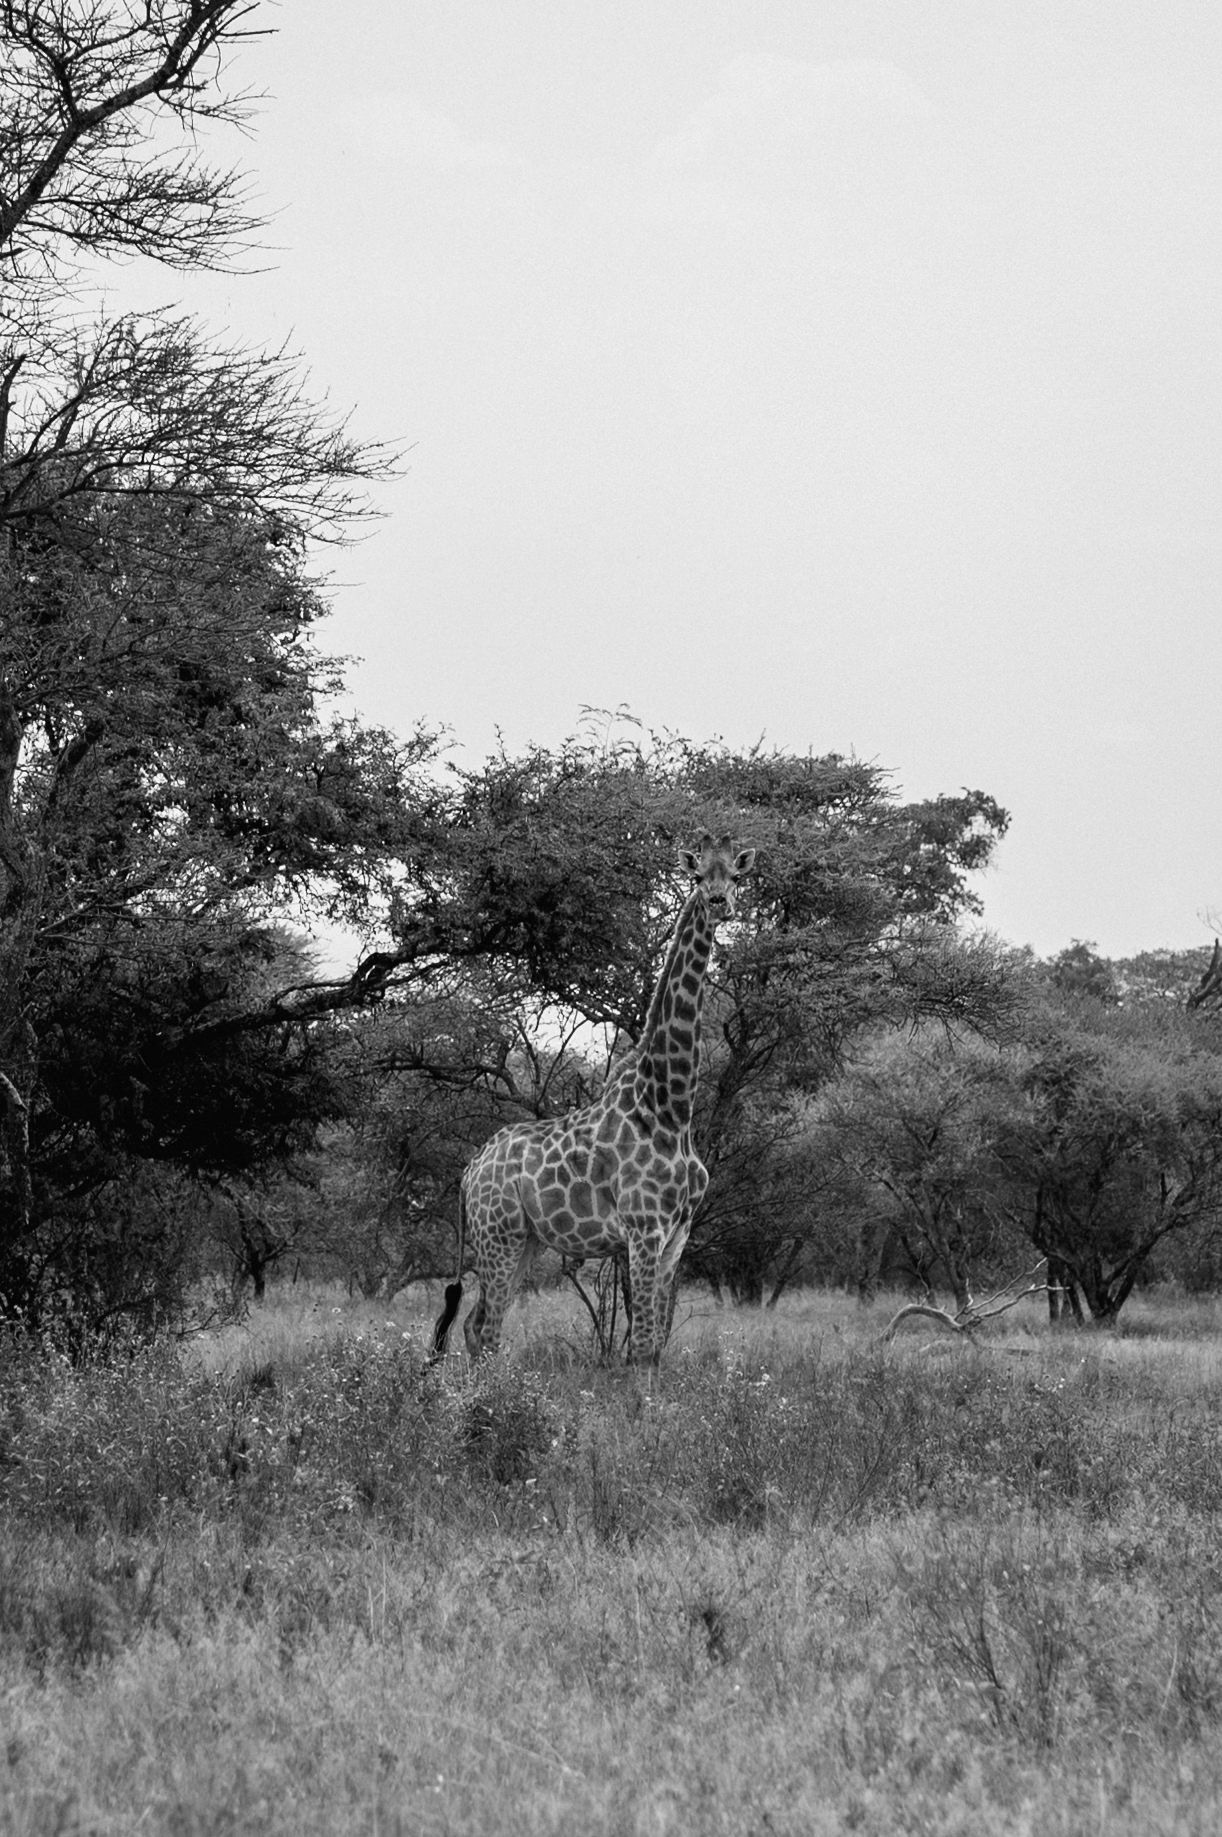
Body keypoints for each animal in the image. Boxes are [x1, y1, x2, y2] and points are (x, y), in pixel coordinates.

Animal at [429, 833, 756, 1367]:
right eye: (696, 875)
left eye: (734, 876)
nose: (717, 902)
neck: (670, 1109)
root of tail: (469, 1171)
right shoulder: (644, 1230)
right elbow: (640, 1347)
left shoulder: (676, 1238)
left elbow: (654, 1347)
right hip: (498, 1234)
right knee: (488, 1329)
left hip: (526, 1240)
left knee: (476, 1326)